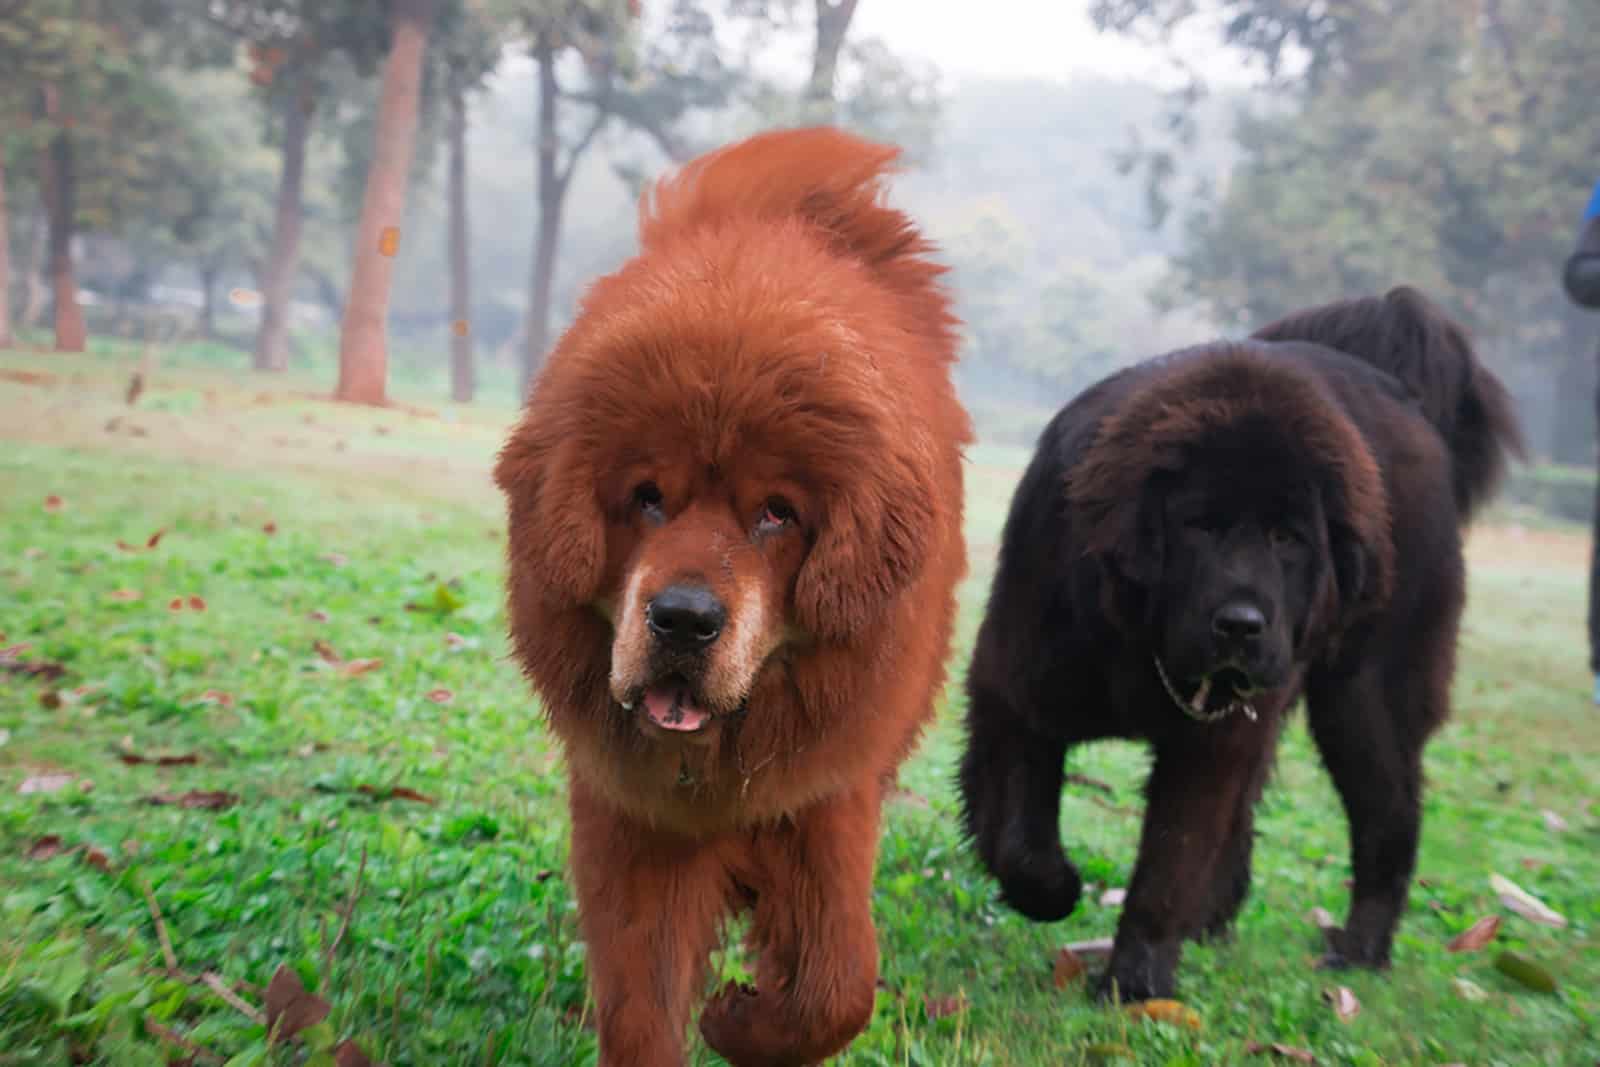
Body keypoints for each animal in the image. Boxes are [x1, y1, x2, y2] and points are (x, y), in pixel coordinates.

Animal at [496, 127, 972, 1067]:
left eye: (776, 513)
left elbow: (836, 987)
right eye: (647, 497)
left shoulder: (824, 799)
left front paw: (736, 1019)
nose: (683, 619)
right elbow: (639, 999)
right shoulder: (631, 820)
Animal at [960, 283, 1523, 1004]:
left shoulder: (1209, 747)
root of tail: (1405, 397)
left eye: (1288, 539)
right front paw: (1055, 890)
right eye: (1199, 526)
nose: (1242, 622)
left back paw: (1359, 950)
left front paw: (1135, 983)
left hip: (1362, 702)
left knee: (1389, 819)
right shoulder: (1016, 687)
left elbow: (1171, 859)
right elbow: (1018, 834)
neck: (1147, 645)